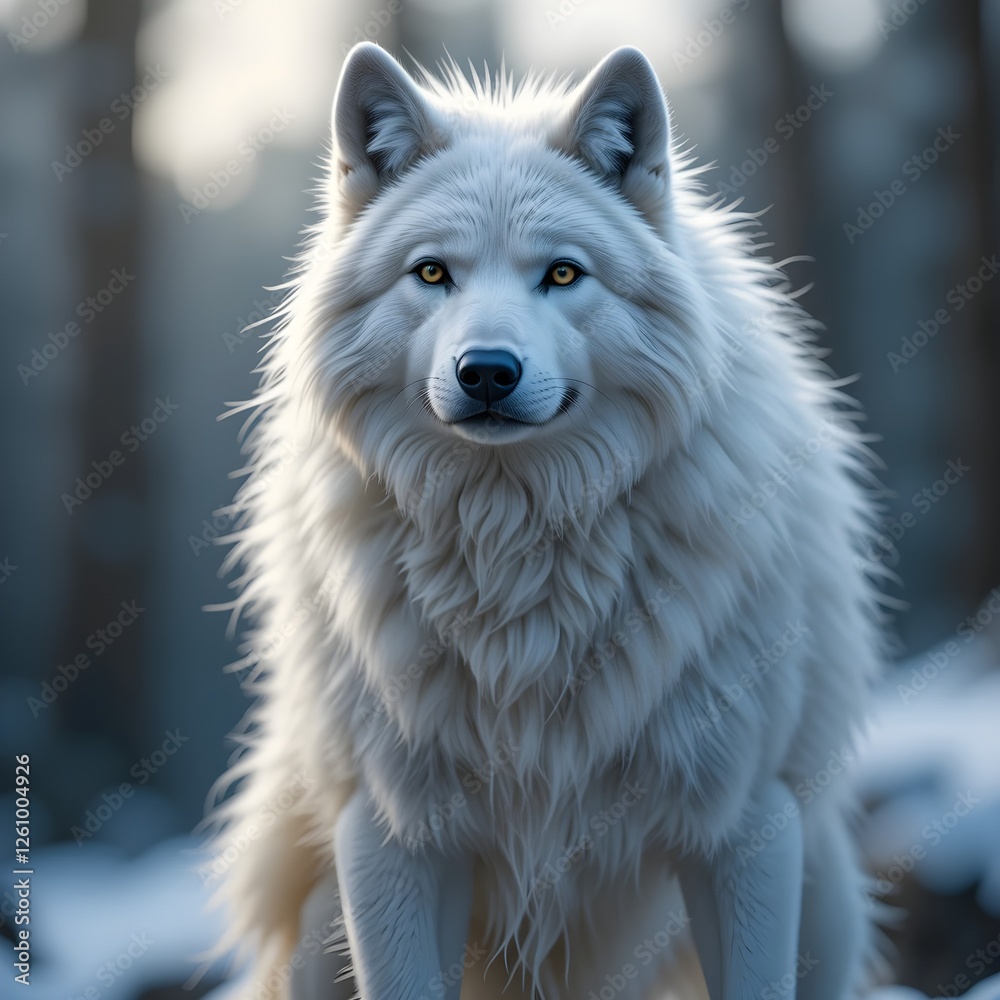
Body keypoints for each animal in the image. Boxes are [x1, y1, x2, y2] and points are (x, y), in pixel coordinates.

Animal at [209, 42, 887, 1000]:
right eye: (432, 272)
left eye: (562, 273)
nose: (487, 371)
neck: (518, 553)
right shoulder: (393, 835)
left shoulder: (741, 823)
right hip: (314, 932)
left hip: (820, 898)